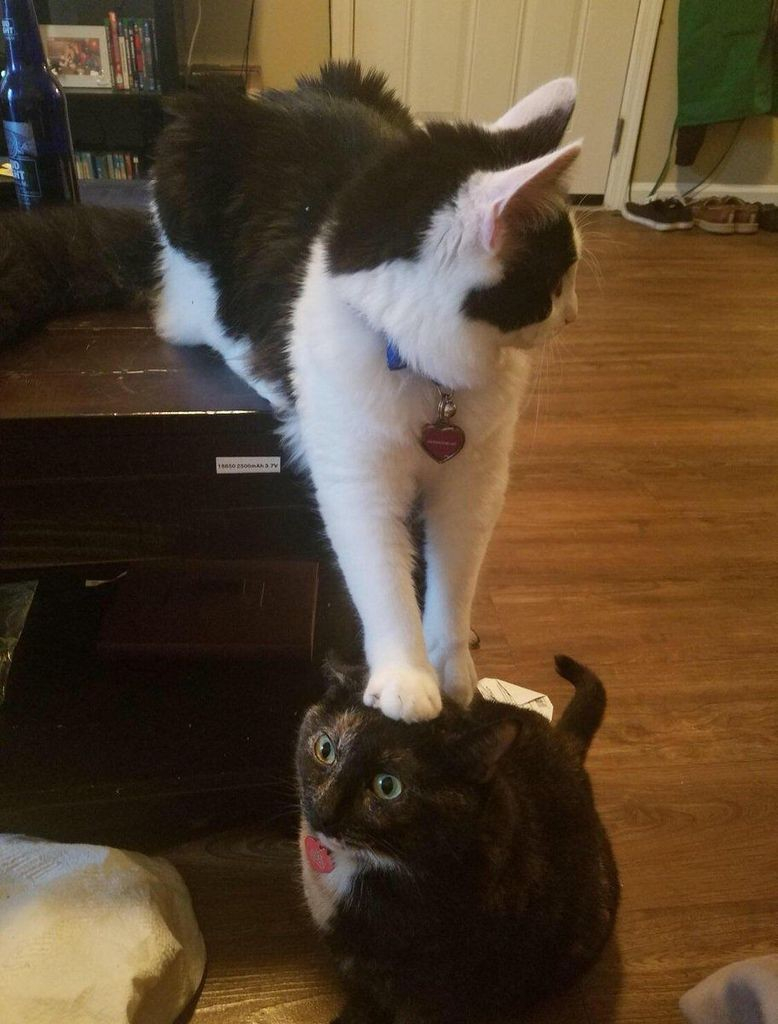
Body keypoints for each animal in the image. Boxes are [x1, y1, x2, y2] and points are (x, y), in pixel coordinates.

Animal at [0, 64, 581, 724]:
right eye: (559, 278)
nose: (573, 315)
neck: (428, 376)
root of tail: (267, 98)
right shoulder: (357, 481)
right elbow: (382, 579)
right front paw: (407, 678)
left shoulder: (475, 484)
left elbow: (454, 582)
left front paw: (455, 673)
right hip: (187, 188)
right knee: (183, 315)